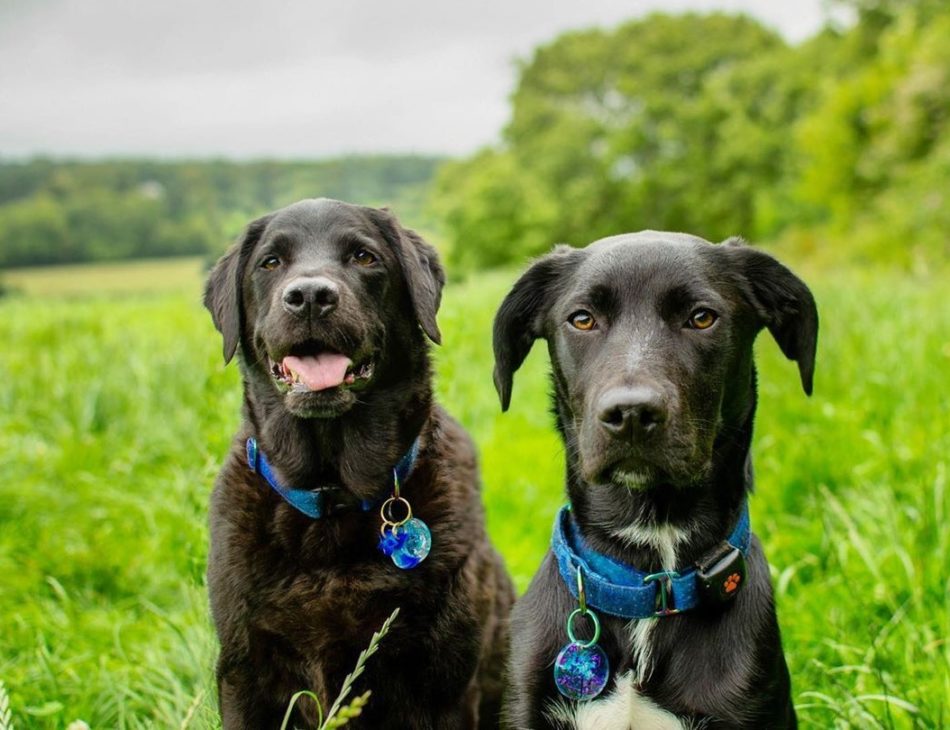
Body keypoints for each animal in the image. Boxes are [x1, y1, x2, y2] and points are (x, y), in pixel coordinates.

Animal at [205, 199, 516, 728]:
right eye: (271, 262)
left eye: (364, 257)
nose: (310, 296)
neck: (333, 496)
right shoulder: (243, 674)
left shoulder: (444, 687)